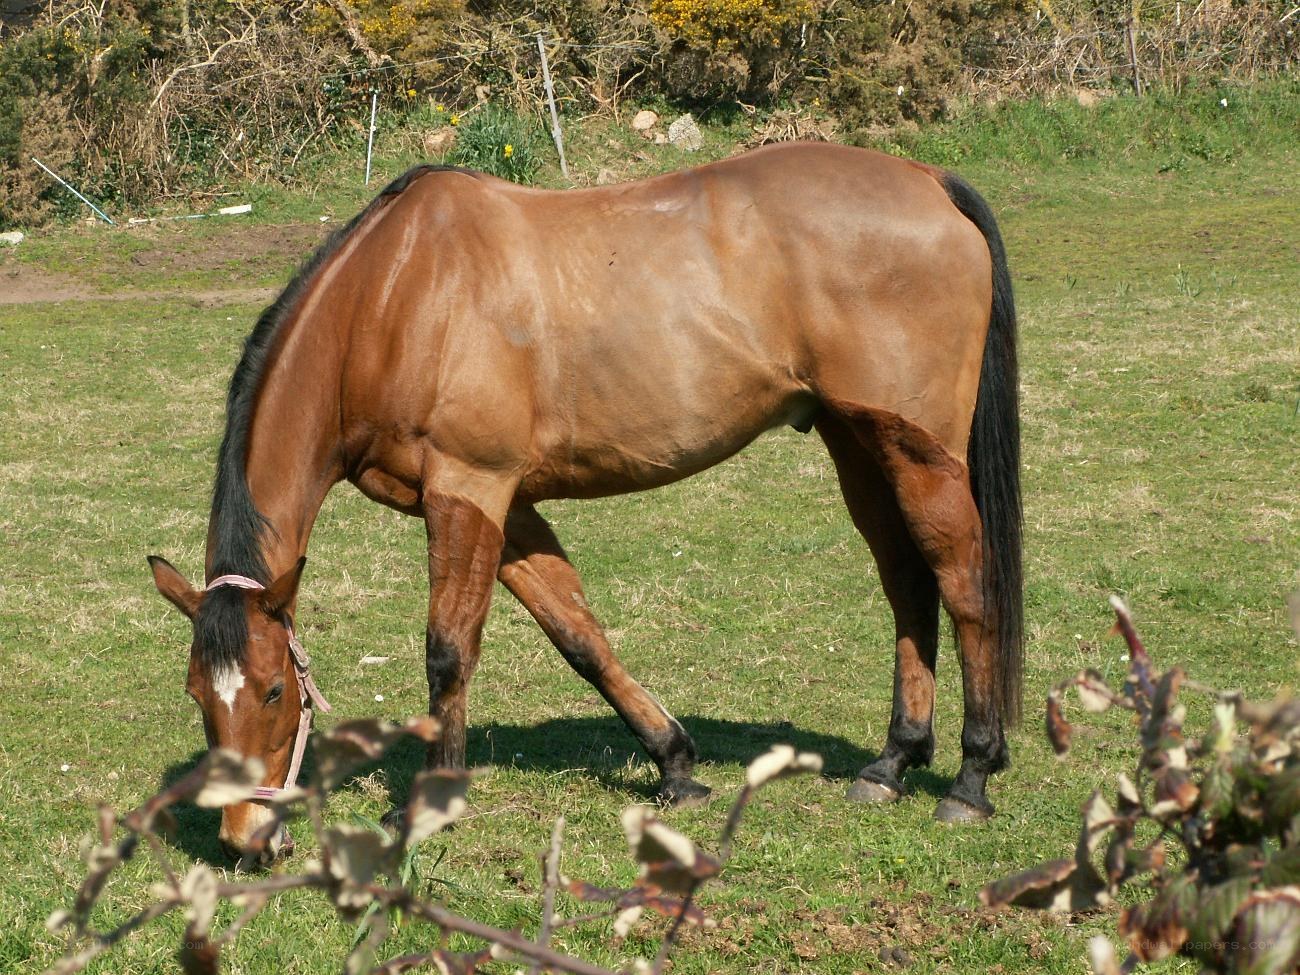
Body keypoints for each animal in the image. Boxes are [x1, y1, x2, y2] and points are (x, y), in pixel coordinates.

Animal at [148, 140, 1022, 860]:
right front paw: (675, 764)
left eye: (273, 691)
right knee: (907, 584)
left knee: (964, 586)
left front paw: (428, 803)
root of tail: (928, 180)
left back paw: (971, 777)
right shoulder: (504, 507)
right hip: (858, 443)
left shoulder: (468, 488)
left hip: (919, 453)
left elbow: (448, 648)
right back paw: (893, 760)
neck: (394, 297)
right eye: (197, 694)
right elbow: (578, 632)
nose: (245, 839)